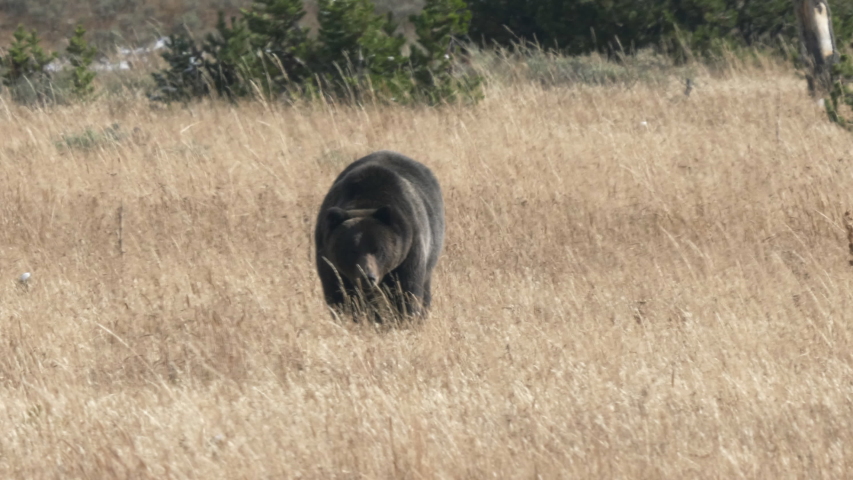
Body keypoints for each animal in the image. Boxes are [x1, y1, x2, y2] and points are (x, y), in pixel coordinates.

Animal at [314, 150, 445, 320]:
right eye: (351, 250)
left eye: (378, 249)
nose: (368, 277)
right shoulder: (329, 259)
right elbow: (339, 295)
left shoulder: (409, 252)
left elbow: (407, 293)